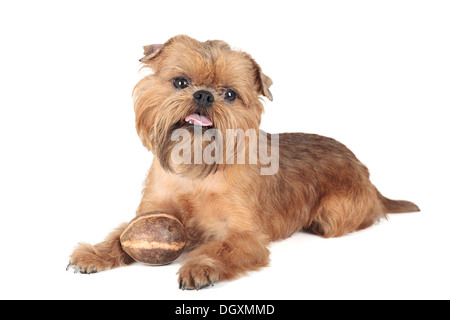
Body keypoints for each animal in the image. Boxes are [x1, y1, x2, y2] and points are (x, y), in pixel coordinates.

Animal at [68, 35, 420, 290]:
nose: (204, 95)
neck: (195, 170)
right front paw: (95, 253)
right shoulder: (151, 211)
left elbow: (221, 248)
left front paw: (200, 265)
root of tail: (364, 171)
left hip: (334, 214)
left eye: (229, 94)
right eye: (181, 82)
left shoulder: (245, 236)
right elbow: (120, 236)